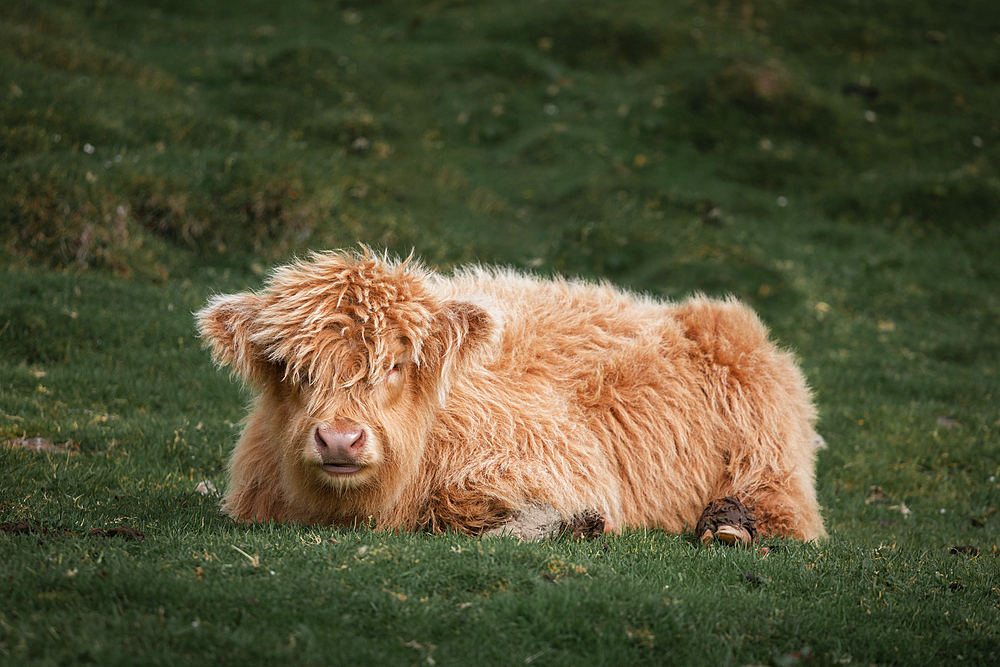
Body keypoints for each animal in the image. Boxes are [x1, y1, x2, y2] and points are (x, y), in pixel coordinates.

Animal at [199, 249, 824, 544]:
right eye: (291, 367)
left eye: (398, 364)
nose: (339, 439)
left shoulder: (558, 462)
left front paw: (573, 524)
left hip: (769, 462)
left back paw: (729, 527)